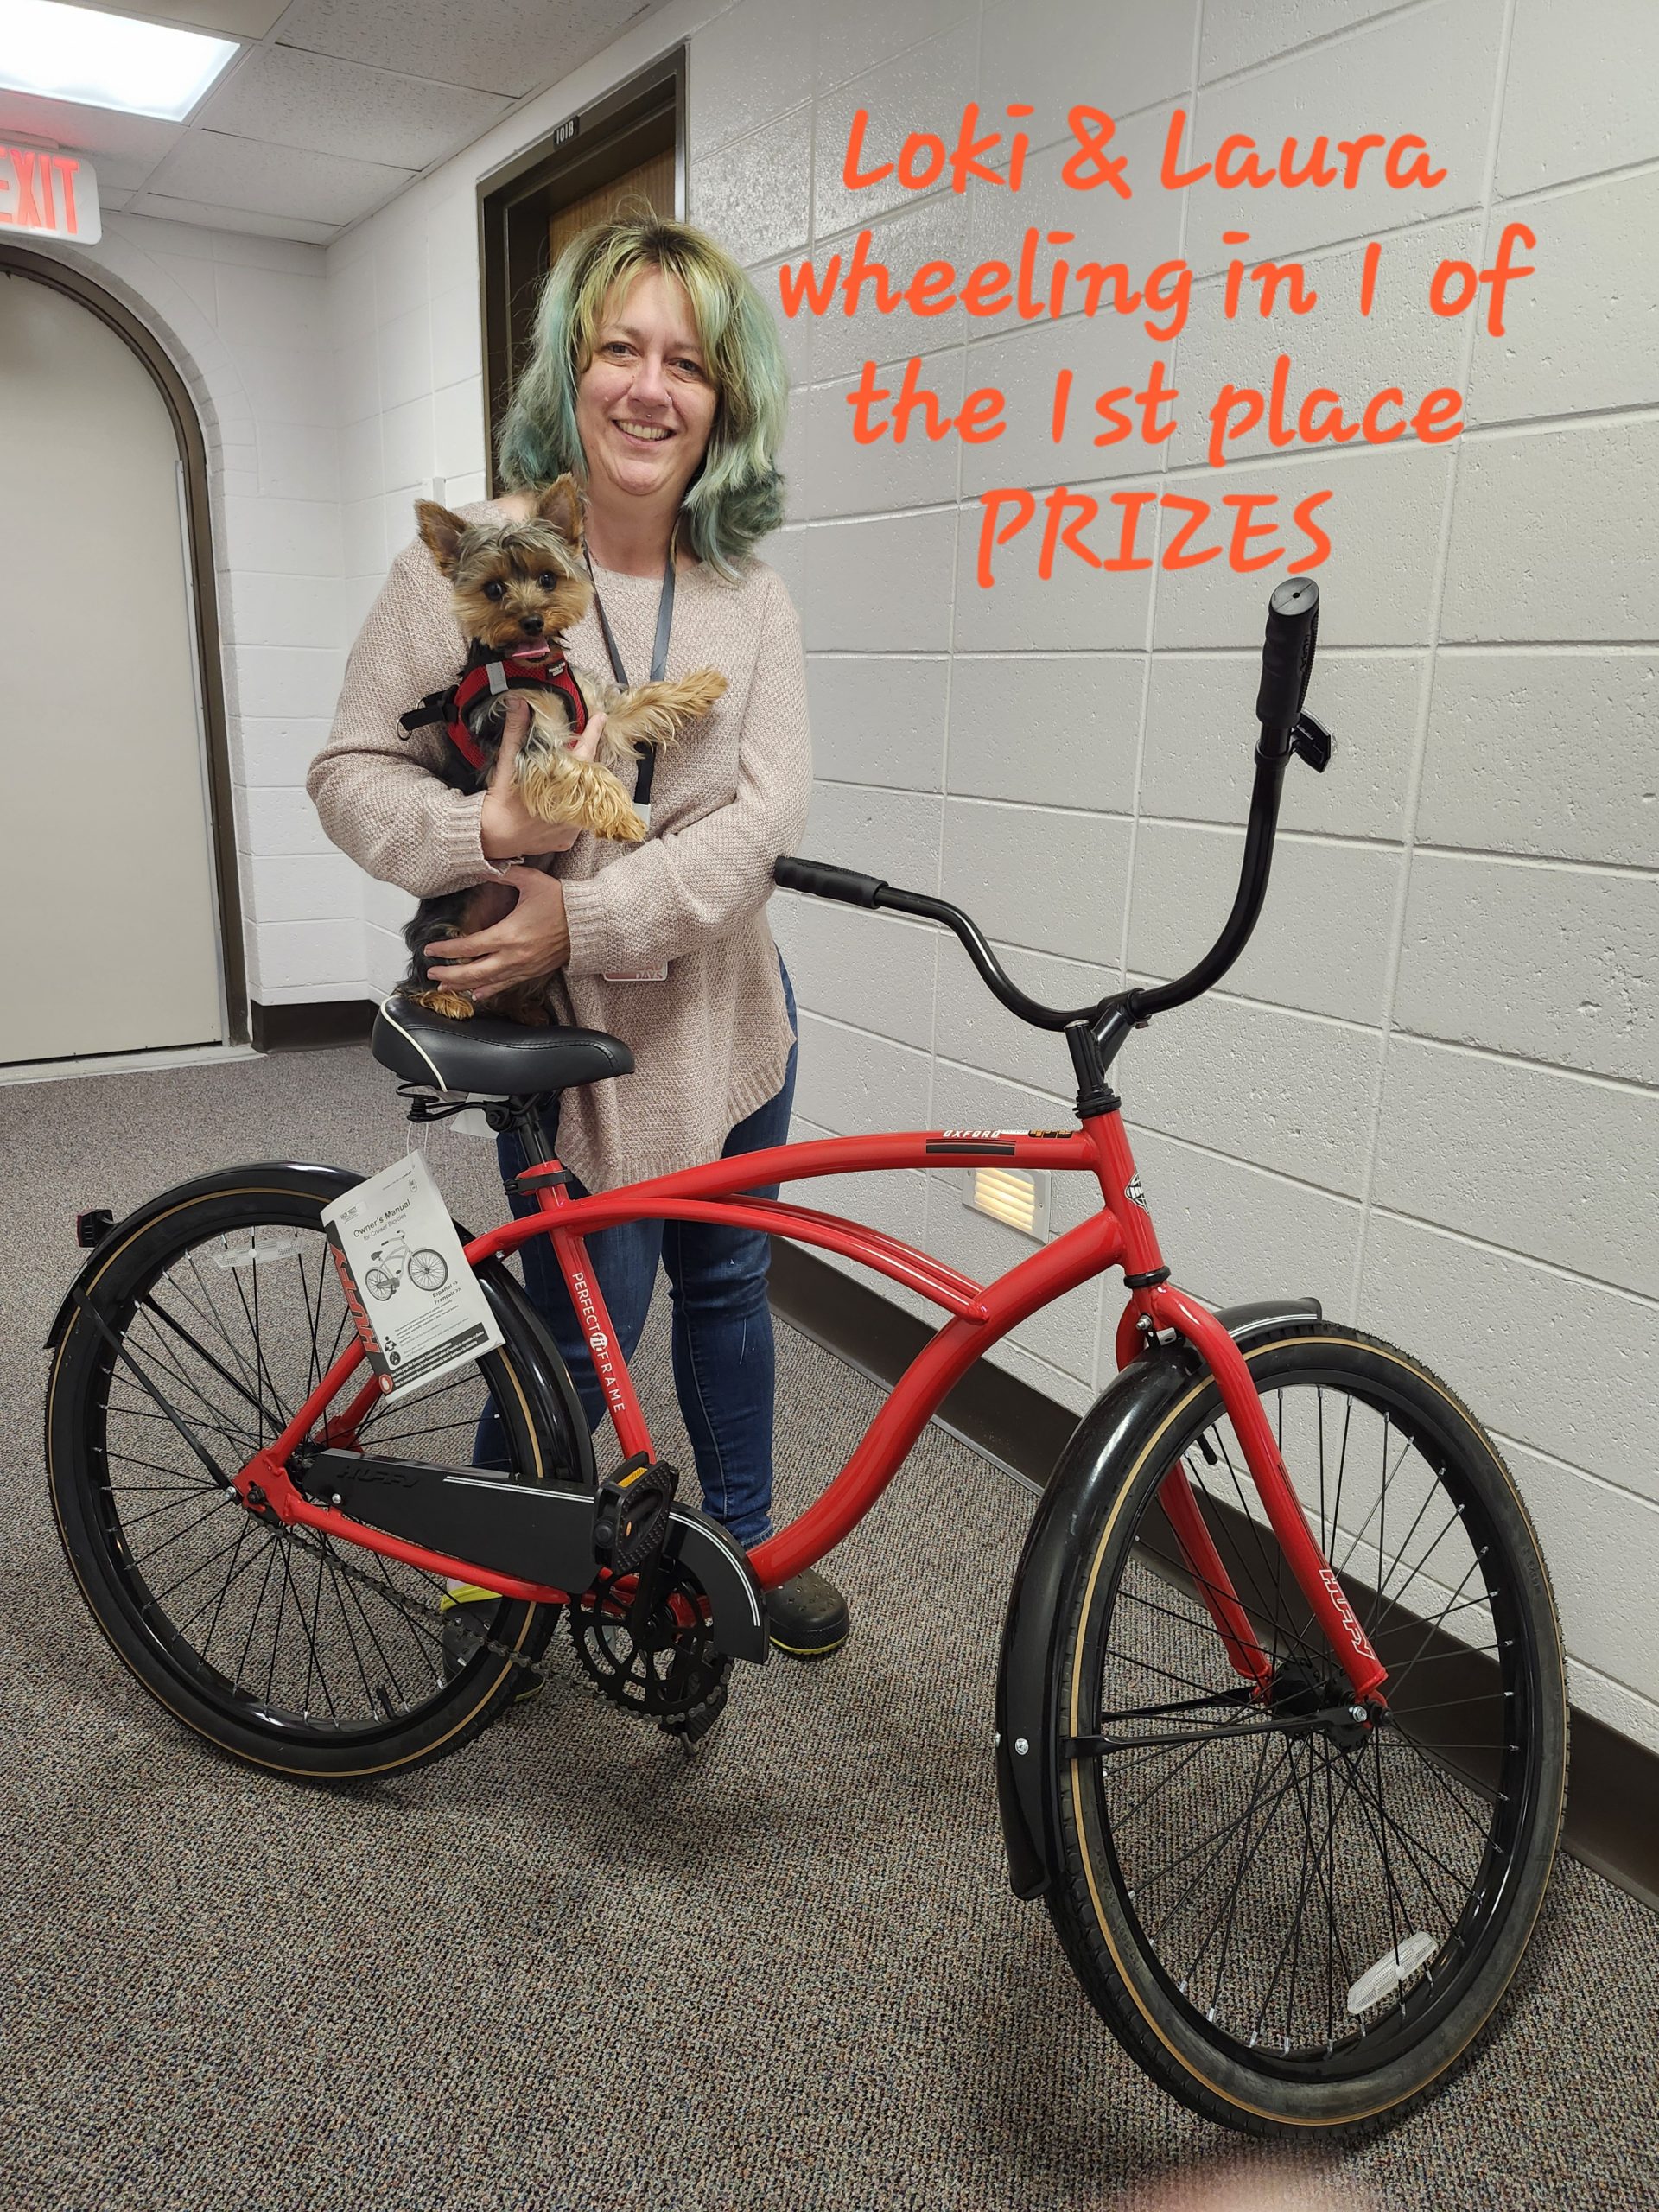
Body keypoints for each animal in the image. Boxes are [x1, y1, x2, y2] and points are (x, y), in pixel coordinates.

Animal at [396, 477, 725, 1026]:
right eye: (493, 589)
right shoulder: (524, 736)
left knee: (507, 989)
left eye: (548, 578)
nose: (532, 620)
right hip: (445, 922)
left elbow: (641, 703)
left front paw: (701, 686)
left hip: (538, 962)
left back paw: (524, 1009)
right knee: (426, 965)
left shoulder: (599, 715)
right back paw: (443, 998)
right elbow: (580, 770)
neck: (531, 667)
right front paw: (623, 816)